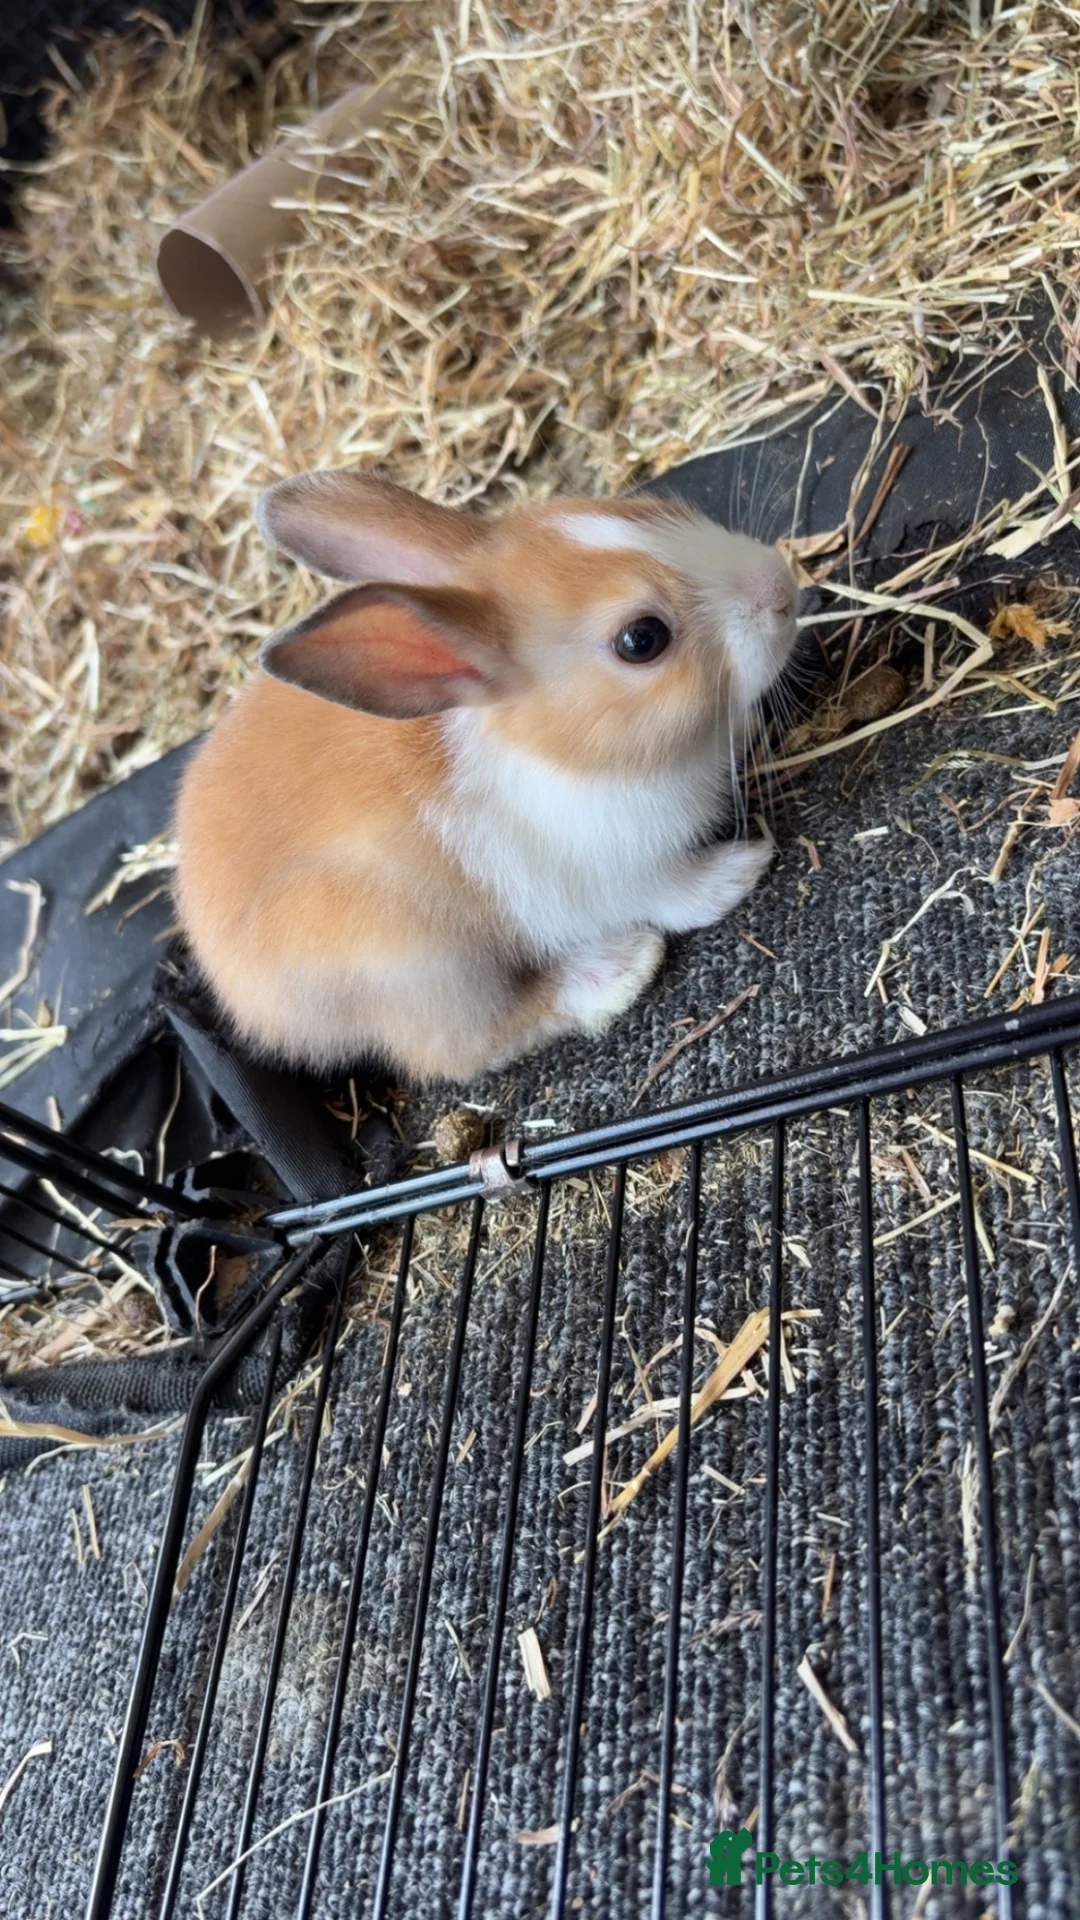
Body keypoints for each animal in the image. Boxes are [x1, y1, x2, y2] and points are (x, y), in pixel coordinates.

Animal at [174, 473, 798, 1083]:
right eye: (641, 639)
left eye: (649, 508)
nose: (780, 587)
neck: (562, 749)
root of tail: (247, 1003)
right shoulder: (628, 872)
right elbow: (678, 895)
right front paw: (738, 870)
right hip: (421, 969)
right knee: (462, 1047)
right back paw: (618, 970)